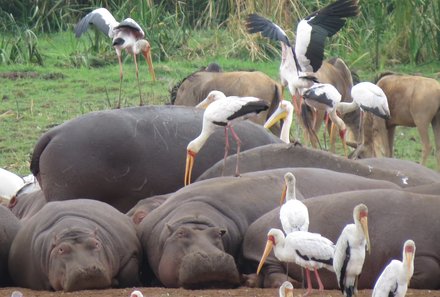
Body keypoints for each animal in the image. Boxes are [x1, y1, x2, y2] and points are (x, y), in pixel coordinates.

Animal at [8, 198, 141, 290]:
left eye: (96, 244)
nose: (87, 269)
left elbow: (127, 274)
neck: (72, 229)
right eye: (61, 249)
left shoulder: (129, 254)